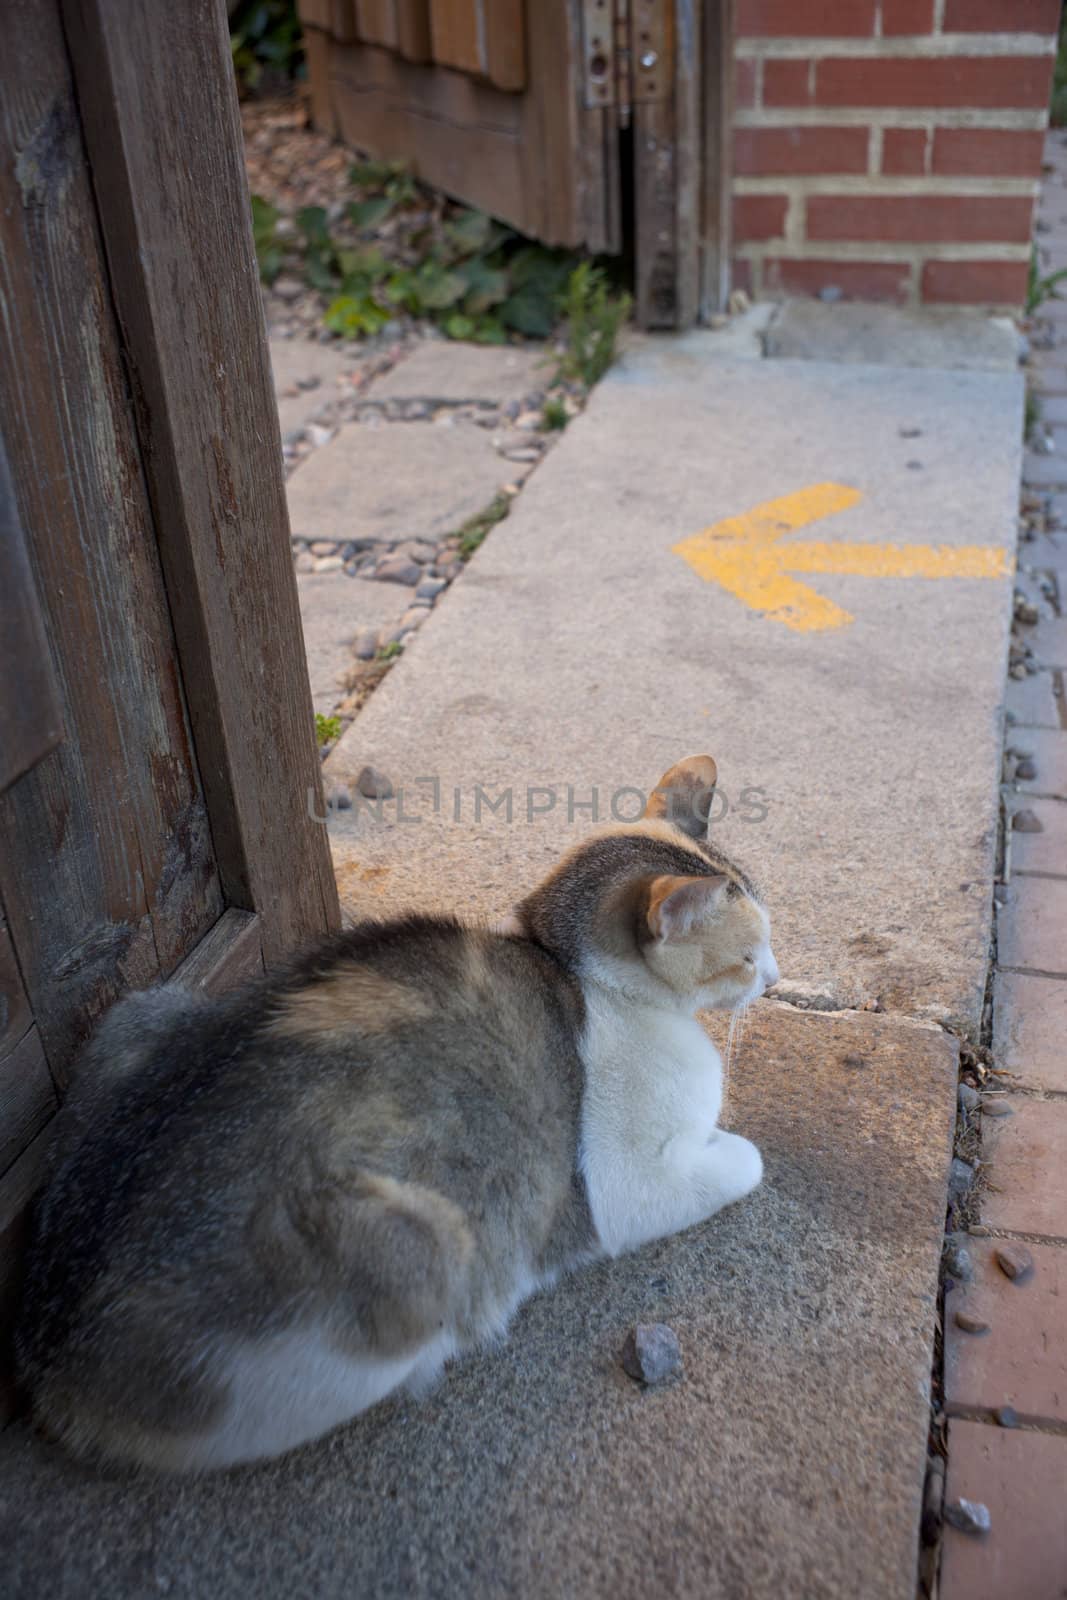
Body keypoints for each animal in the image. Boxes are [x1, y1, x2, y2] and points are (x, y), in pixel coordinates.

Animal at [14, 755, 777, 1465]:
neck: (575, 971)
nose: (772, 978)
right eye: (747, 955)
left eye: (769, 939)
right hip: (424, 1244)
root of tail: (50, 1360)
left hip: (147, 1009)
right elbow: (746, 1160)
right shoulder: (623, 1189)